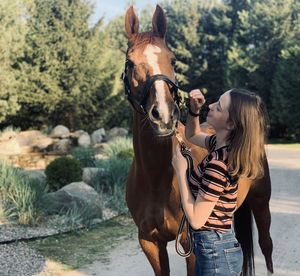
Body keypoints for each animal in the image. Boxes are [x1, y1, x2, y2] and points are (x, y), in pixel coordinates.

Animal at [123, 5, 274, 274]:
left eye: (172, 59)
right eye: (130, 63)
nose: (164, 116)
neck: (156, 178)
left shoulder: (189, 244)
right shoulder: (149, 242)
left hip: (261, 202)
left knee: (266, 247)